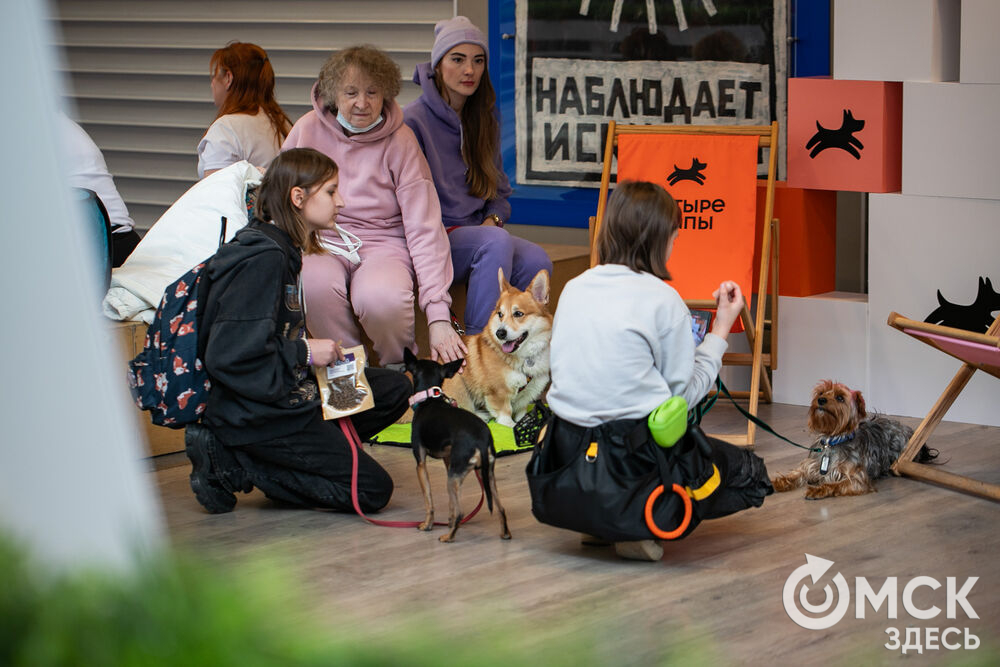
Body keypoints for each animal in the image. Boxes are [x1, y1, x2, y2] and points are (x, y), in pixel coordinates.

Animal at [448, 270, 556, 428]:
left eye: (518, 314)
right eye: (500, 314)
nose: (500, 333)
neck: (523, 357)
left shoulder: (527, 394)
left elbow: (521, 413)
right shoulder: (498, 393)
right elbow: (506, 416)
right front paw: (510, 425)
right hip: (458, 384)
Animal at [772, 378, 936, 498]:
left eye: (840, 397)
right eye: (821, 392)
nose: (821, 400)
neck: (832, 440)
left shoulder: (857, 479)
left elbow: (836, 485)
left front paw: (818, 489)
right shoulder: (811, 465)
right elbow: (796, 473)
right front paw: (775, 482)